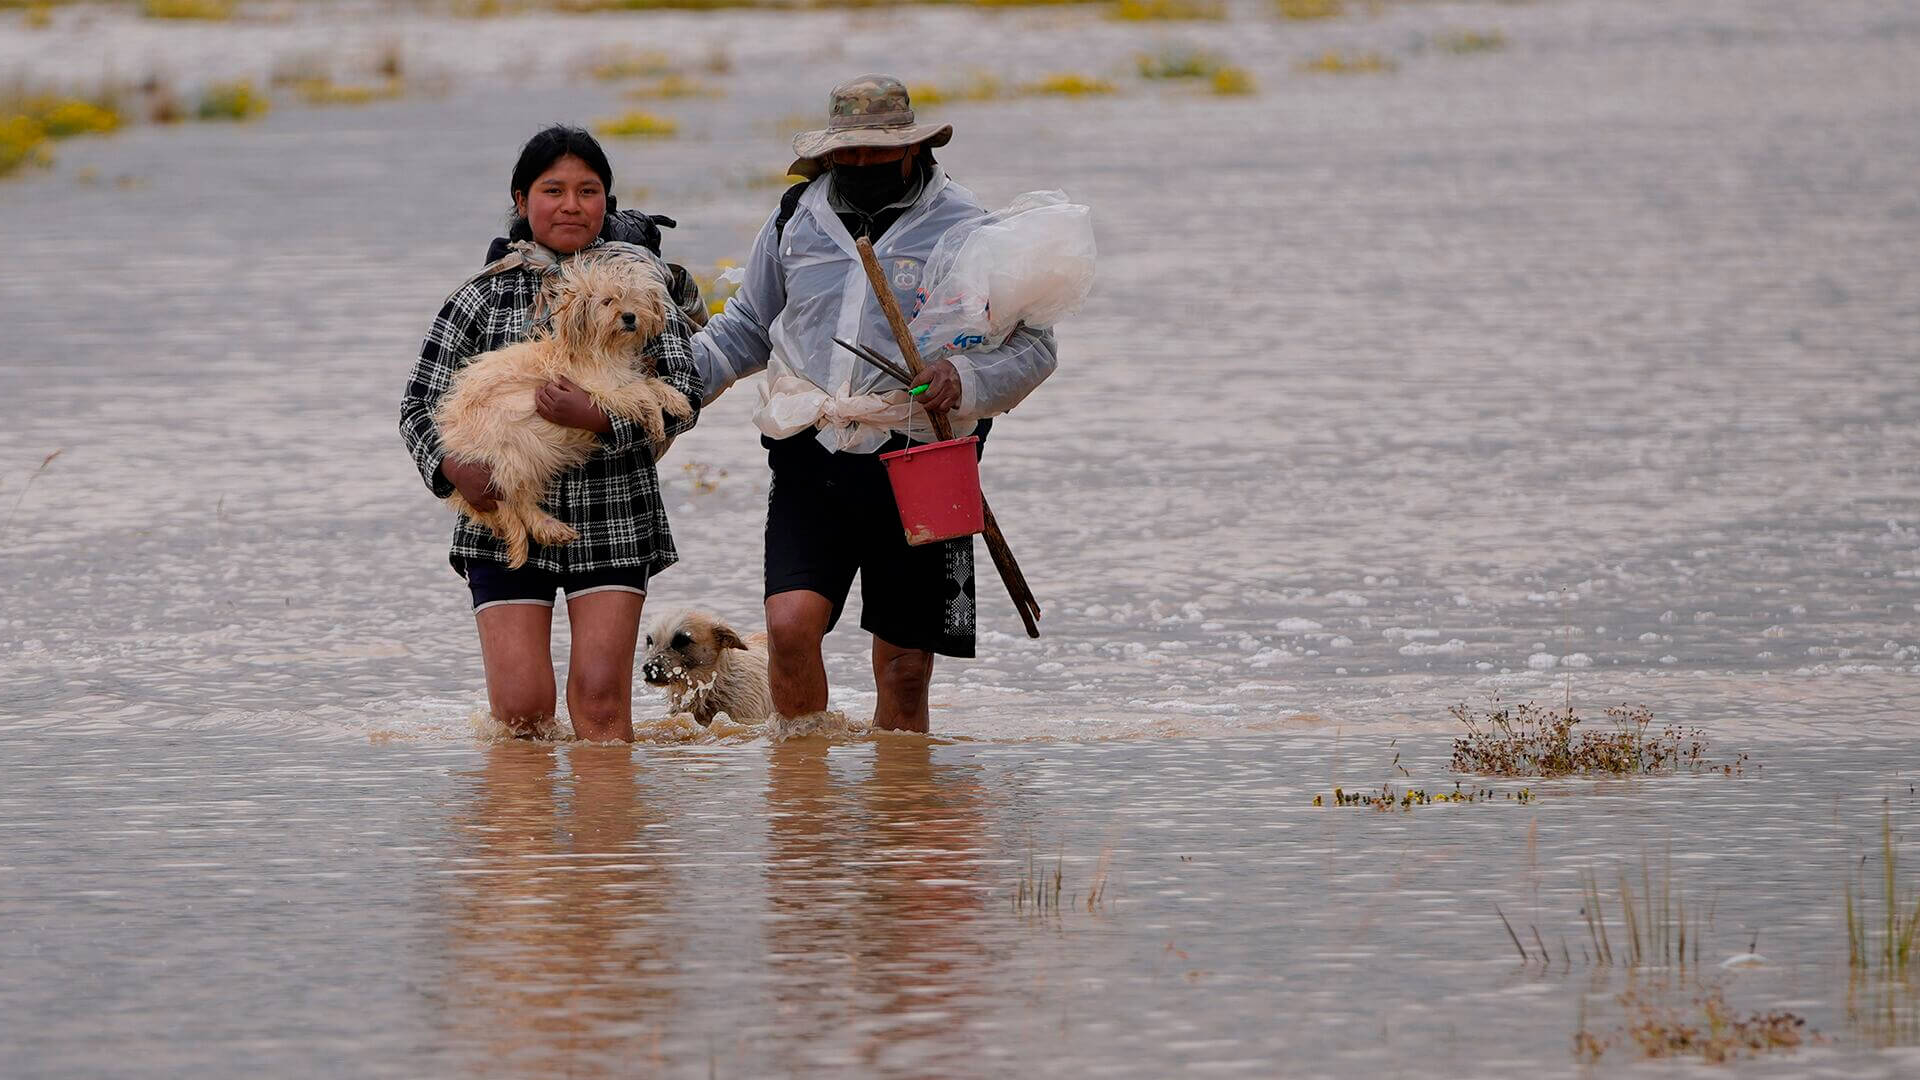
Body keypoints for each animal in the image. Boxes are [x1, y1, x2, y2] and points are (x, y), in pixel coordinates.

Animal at [433, 255, 691, 568]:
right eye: (607, 301)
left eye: (635, 298)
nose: (629, 317)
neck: (604, 349)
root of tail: (455, 444)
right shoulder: (599, 389)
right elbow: (640, 391)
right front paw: (654, 418)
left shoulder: (616, 380)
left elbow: (649, 383)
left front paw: (676, 401)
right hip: (513, 450)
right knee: (514, 499)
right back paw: (549, 527)